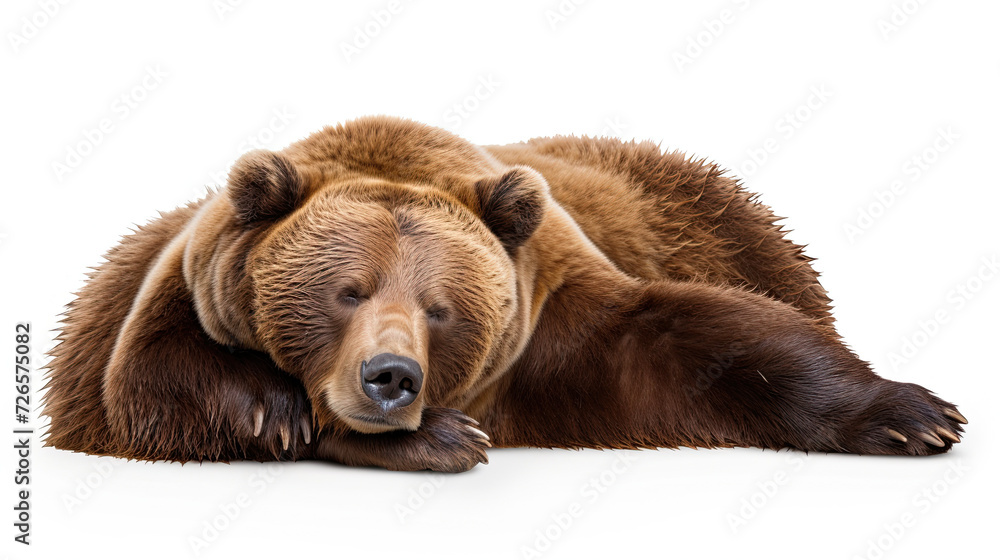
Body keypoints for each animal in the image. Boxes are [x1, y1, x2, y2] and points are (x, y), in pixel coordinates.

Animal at [42, 115, 966, 472]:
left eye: (440, 309)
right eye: (346, 291)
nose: (391, 378)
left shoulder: (556, 314)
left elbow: (707, 342)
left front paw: (916, 413)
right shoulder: (183, 290)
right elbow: (156, 382)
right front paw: (432, 435)